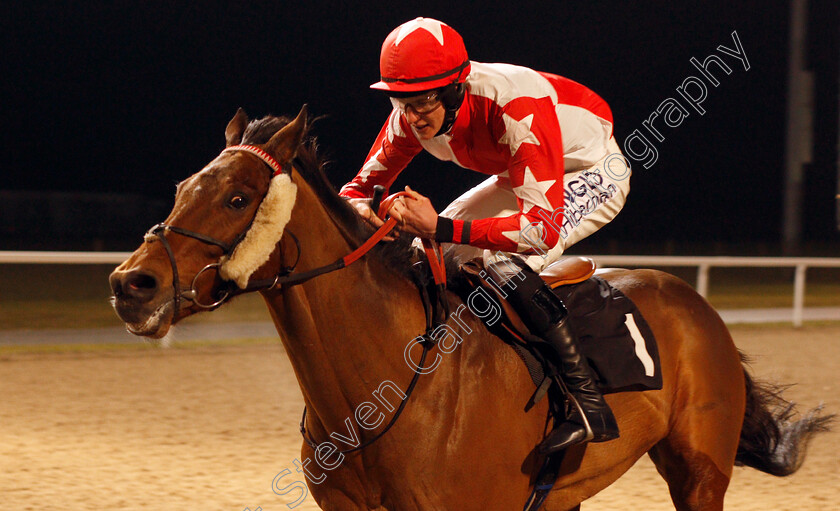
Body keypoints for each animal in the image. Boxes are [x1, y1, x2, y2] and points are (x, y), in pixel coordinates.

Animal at [108, 106, 832, 510]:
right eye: (184, 185)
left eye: (236, 197)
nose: (130, 284)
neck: (381, 390)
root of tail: (696, 303)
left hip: (699, 472)